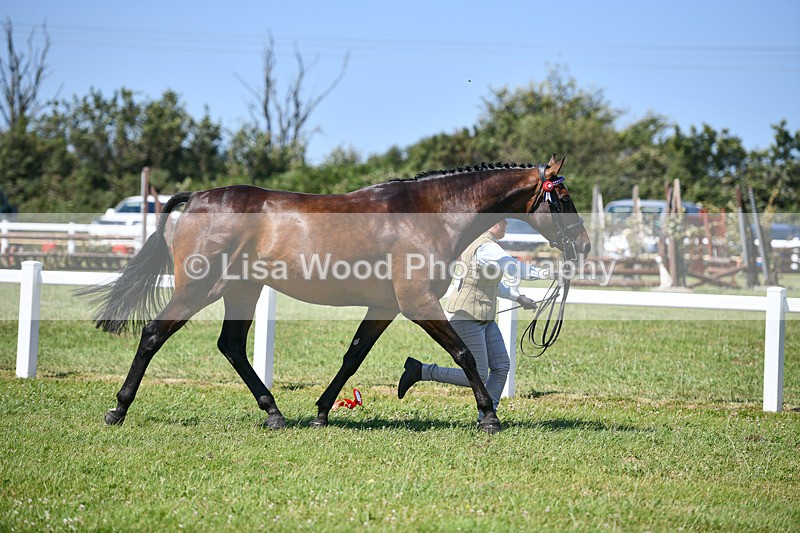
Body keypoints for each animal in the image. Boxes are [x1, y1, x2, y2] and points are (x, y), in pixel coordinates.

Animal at [79, 154, 590, 434]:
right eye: (562, 199)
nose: (583, 245)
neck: (431, 214)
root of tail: (200, 197)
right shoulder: (417, 303)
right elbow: (464, 354)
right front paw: (488, 416)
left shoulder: (384, 306)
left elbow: (353, 356)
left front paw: (323, 412)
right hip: (199, 289)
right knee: (153, 334)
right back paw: (117, 409)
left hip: (241, 291)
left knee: (231, 346)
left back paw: (275, 413)